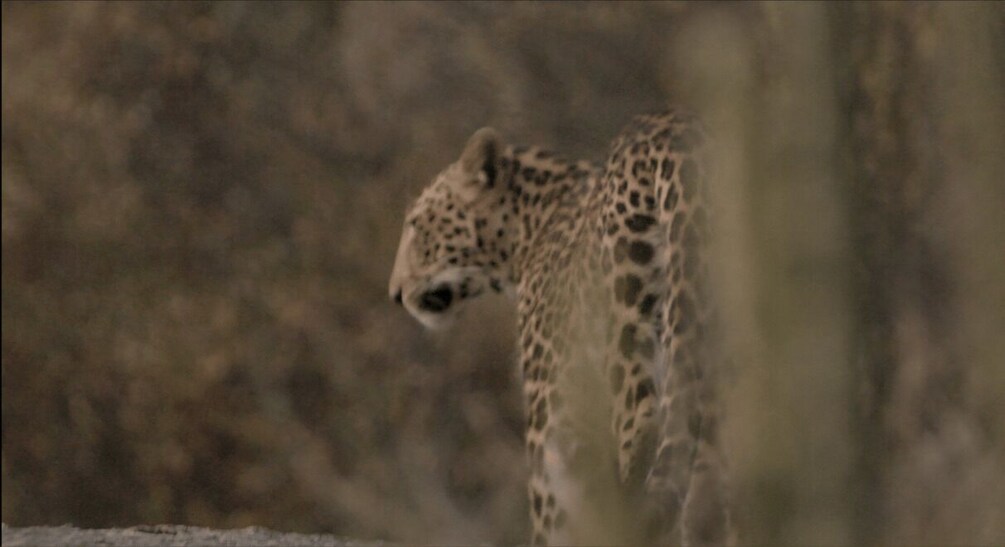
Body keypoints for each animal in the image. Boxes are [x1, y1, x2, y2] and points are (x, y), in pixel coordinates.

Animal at [389, 110, 732, 546]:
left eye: (417, 225)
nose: (394, 293)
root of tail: (676, 137)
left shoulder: (551, 409)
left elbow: (550, 509)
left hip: (630, 338)